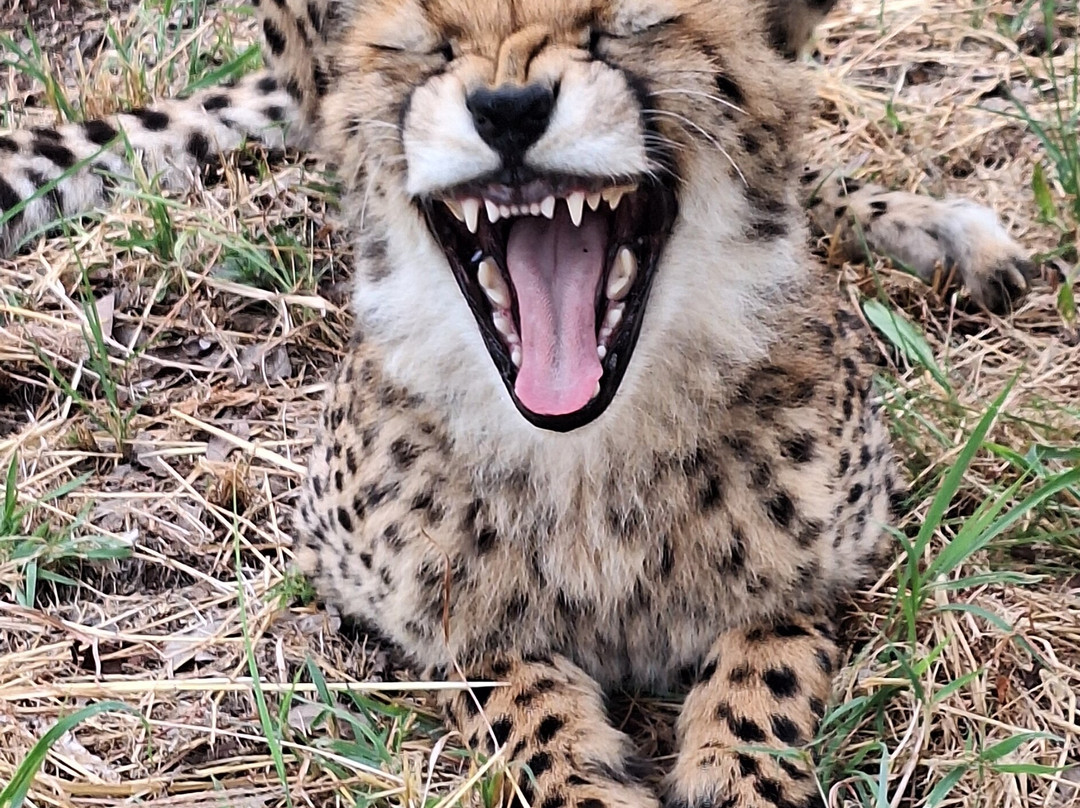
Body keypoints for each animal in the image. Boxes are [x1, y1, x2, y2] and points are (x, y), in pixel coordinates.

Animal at [0, 1, 1043, 807]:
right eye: (427, 43)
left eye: (627, 22)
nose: (508, 109)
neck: (585, 453)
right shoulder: (367, 584)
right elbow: (501, 672)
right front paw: (579, 771)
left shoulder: (842, 554)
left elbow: (766, 655)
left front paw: (736, 770)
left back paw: (948, 234)